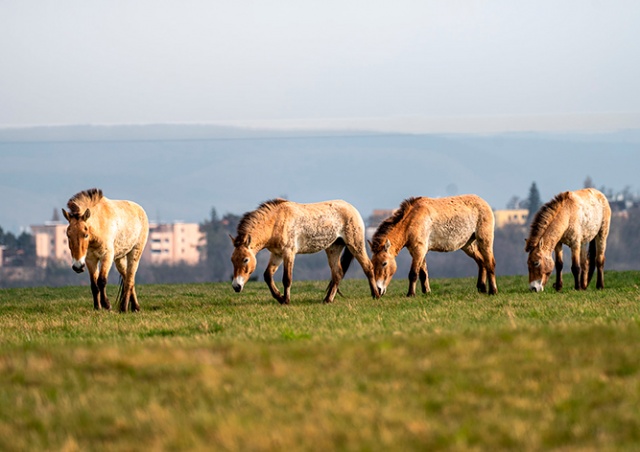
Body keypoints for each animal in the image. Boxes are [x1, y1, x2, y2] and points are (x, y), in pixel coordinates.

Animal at [230, 198, 380, 304]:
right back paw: (327, 300)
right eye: (232, 260)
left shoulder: (289, 253)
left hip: (355, 245)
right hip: (333, 248)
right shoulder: (277, 254)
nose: (236, 286)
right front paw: (279, 297)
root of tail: (352, 208)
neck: (276, 222)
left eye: (245, 259)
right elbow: (267, 276)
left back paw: (376, 295)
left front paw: (286, 300)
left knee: (368, 267)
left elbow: (287, 279)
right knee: (338, 274)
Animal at [368, 194, 498, 296]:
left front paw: (411, 294)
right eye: (372, 264)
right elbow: (423, 273)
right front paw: (426, 292)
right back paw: (482, 288)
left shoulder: (419, 250)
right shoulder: (418, 251)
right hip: (468, 246)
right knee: (481, 262)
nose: (378, 290)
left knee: (490, 263)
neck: (411, 221)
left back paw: (493, 291)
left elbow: (413, 274)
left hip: (485, 240)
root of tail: (484, 203)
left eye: (384, 263)